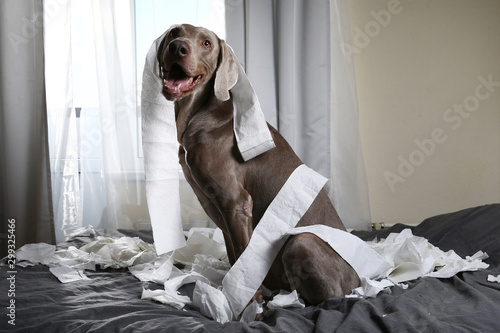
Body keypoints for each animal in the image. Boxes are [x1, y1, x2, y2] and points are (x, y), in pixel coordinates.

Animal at [157, 24, 360, 308]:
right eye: (175, 32)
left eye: (207, 43)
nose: (178, 47)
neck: (200, 113)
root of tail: (359, 283)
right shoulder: (221, 210)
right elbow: (234, 258)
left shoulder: (236, 201)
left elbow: (244, 263)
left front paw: (248, 308)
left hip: (302, 242)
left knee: (326, 297)